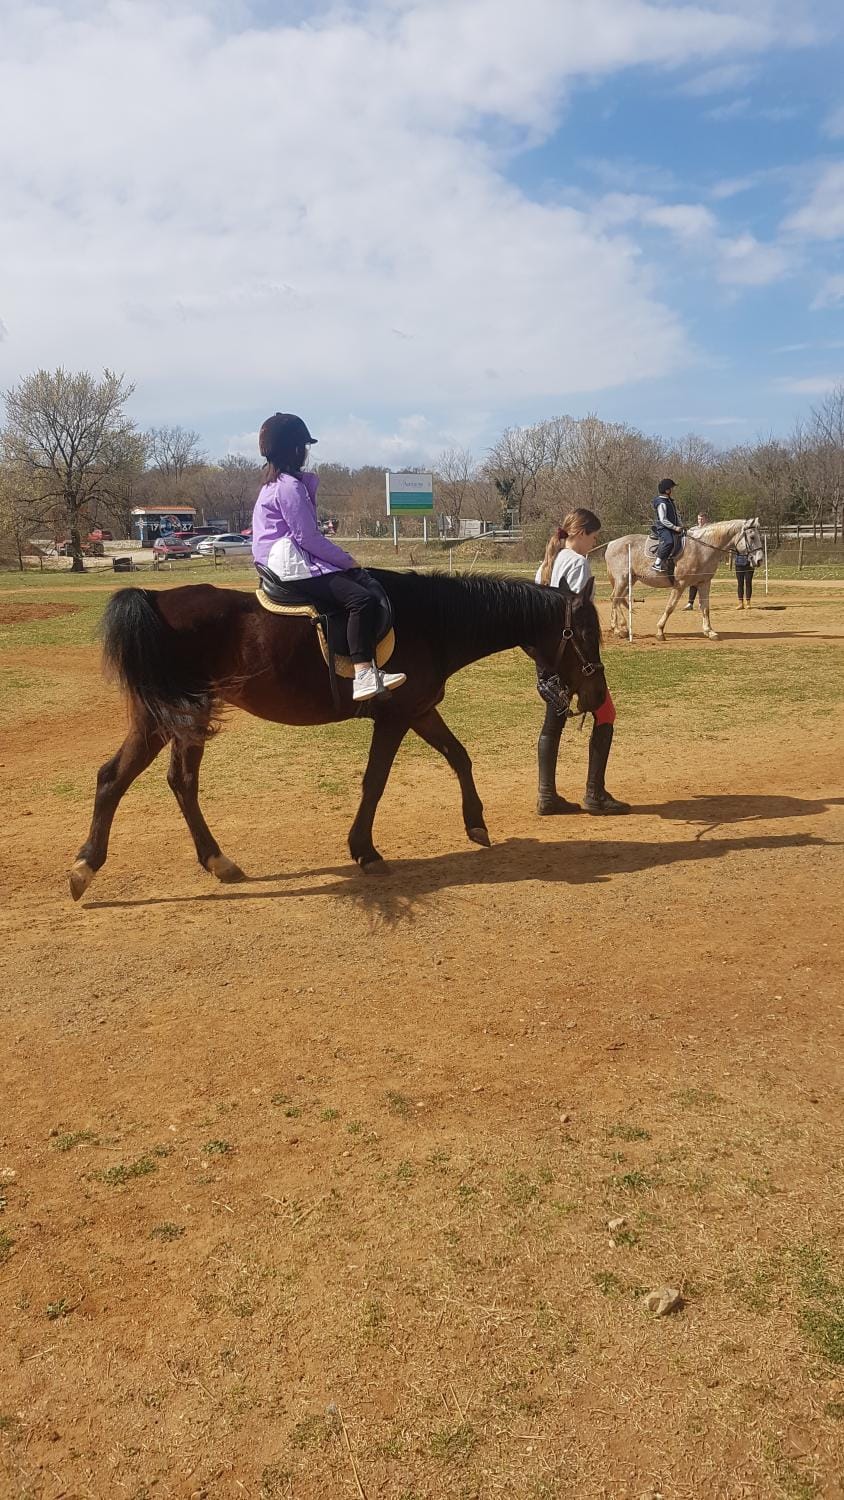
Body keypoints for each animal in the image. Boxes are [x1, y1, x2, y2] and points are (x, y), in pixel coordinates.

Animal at [69, 569, 607, 899]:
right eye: (585, 634)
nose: (597, 695)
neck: (430, 620)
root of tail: (156, 598)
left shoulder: (420, 711)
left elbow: (459, 756)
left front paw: (475, 823)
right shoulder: (395, 718)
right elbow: (375, 782)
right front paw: (365, 851)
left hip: (169, 720)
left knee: (147, 780)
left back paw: (195, 861)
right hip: (172, 718)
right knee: (139, 779)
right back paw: (95, 866)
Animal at [605, 518, 764, 642]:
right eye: (752, 537)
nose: (759, 560)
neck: (701, 549)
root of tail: (611, 543)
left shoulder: (704, 583)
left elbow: (705, 607)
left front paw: (709, 631)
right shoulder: (680, 585)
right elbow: (670, 607)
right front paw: (660, 631)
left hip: (629, 581)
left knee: (618, 599)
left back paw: (620, 628)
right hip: (622, 580)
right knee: (614, 599)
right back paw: (618, 629)